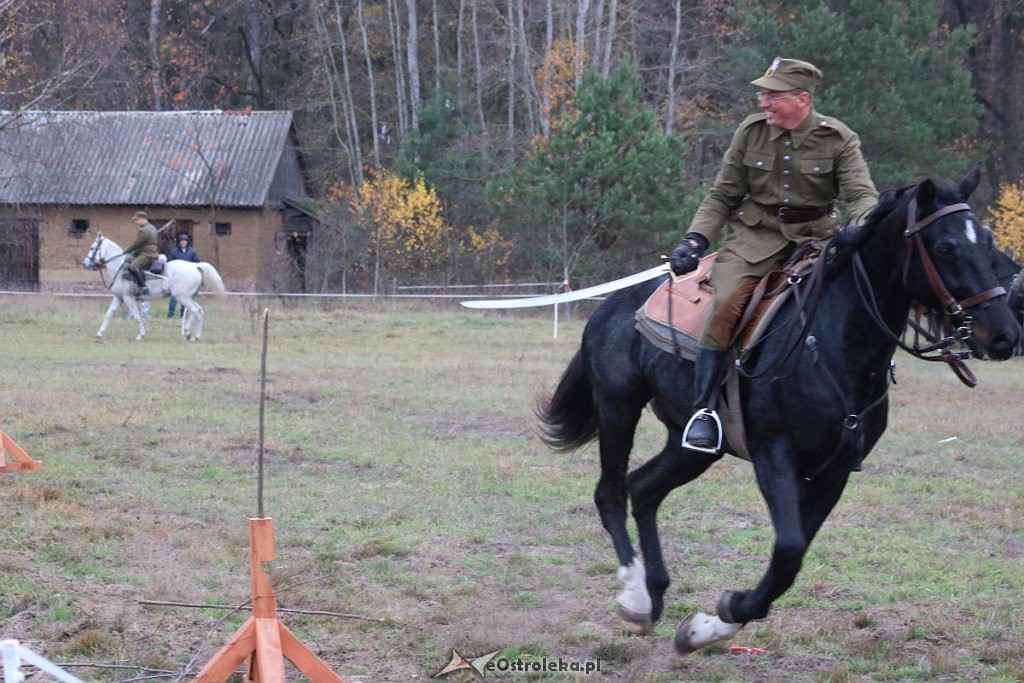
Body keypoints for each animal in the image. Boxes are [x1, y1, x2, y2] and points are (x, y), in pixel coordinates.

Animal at [81, 232, 226, 342]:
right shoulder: (119, 298)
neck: (120, 267)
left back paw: (193, 336)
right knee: (198, 311)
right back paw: (190, 333)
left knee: (196, 311)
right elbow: (108, 314)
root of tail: (195, 266)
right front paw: (99, 333)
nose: (85, 264)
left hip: (183, 297)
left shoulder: (128, 298)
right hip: (190, 297)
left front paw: (141, 335)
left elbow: (137, 317)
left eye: (92, 248)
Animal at [540, 167, 1019, 655]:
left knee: (644, 489)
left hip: (692, 446)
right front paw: (724, 614)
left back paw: (655, 592)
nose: (1003, 334)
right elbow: (788, 550)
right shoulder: (775, 456)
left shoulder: (834, 472)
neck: (832, 343)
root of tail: (613, 306)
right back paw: (636, 597)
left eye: (987, 242)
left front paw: (708, 626)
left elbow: (792, 557)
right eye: (945, 247)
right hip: (618, 410)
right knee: (611, 494)